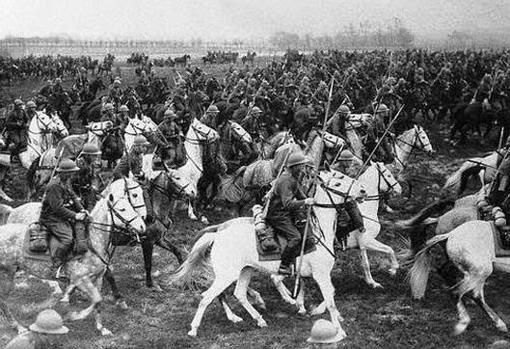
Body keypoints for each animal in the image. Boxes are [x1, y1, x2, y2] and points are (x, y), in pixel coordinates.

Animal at [173, 170, 364, 336]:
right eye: (338, 182)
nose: (362, 190)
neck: (317, 232)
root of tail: (218, 234)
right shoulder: (321, 275)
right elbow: (330, 301)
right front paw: (339, 330)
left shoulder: (314, 274)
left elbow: (327, 293)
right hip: (226, 275)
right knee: (207, 297)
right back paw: (195, 329)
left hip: (246, 270)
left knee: (239, 294)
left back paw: (259, 319)